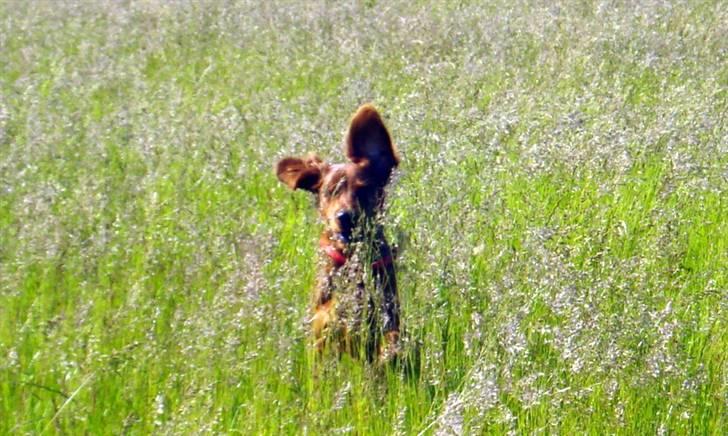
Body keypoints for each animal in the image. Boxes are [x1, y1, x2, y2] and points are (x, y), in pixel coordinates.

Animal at [276, 104, 400, 362]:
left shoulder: (389, 310)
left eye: (365, 189)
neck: (353, 260)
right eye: (330, 191)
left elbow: (390, 338)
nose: (345, 217)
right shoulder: (320, 323)